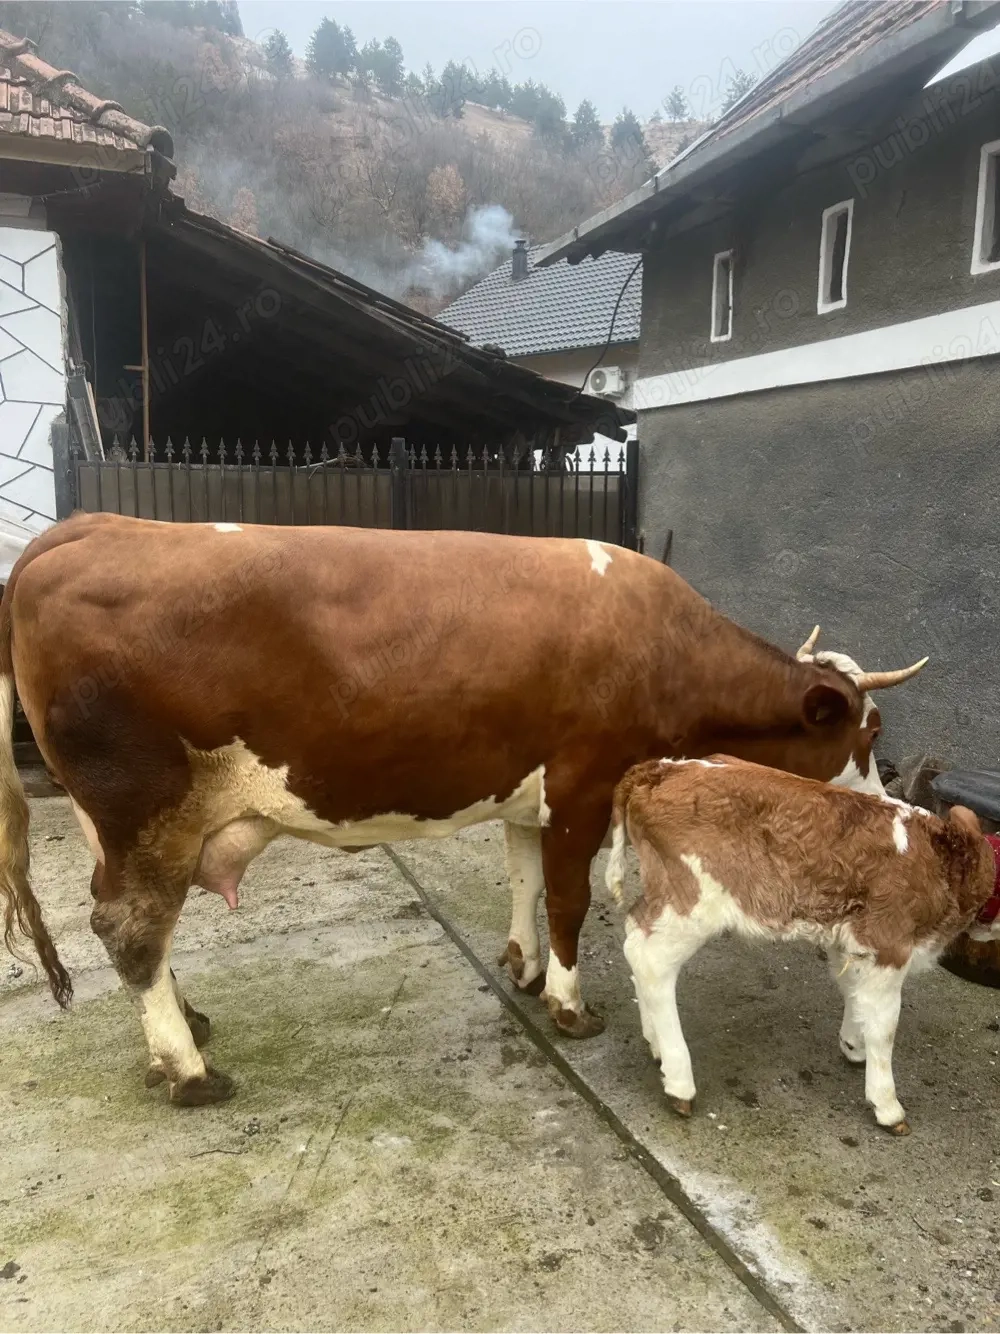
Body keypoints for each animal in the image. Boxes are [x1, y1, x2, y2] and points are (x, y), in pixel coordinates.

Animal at [0, 513, 927, 1106]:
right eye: (868, 730)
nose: (884, 801)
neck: (664, 647)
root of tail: (84, 527)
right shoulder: (584, 785)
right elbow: (569, 899)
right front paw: (568, 1005)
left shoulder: (527, 789)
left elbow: (523, 881)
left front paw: (519, 965)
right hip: (145, 806)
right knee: (131, 926)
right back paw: (189, 1072)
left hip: (114, 824)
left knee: (134, 928)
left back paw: (183, 1025)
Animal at [607, 756, 998, 1134]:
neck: (940, 861)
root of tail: (661, 769)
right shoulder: (888, 943)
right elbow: (885, 1025)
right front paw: (887, 1104)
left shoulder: (851, 940)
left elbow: (854, 992)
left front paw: (853, 1045)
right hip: (692, 902)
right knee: (650, 960)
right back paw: (678, 1081)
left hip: (664, 894)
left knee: (635, 934)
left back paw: (654, 1043)